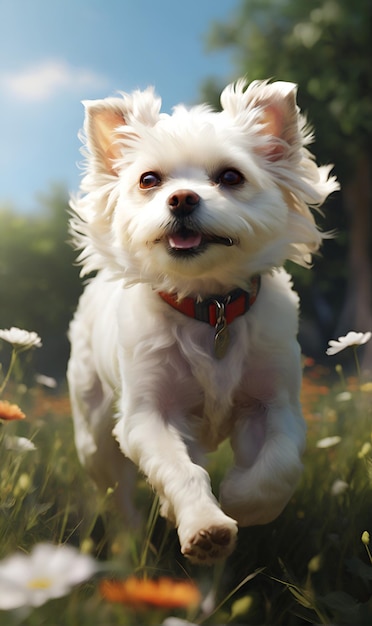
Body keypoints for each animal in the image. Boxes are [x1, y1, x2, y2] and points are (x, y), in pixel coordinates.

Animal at [67, 78, 338, 560]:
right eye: (149, 180)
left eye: (231, 177)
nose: (182, 198)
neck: (209, 308)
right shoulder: (148, 415)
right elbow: (180, 470)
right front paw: (204, 525)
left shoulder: (275, 405)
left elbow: (279, 466)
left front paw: (240, 499)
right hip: (94, 435)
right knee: (117, 494)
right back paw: (131, 538)